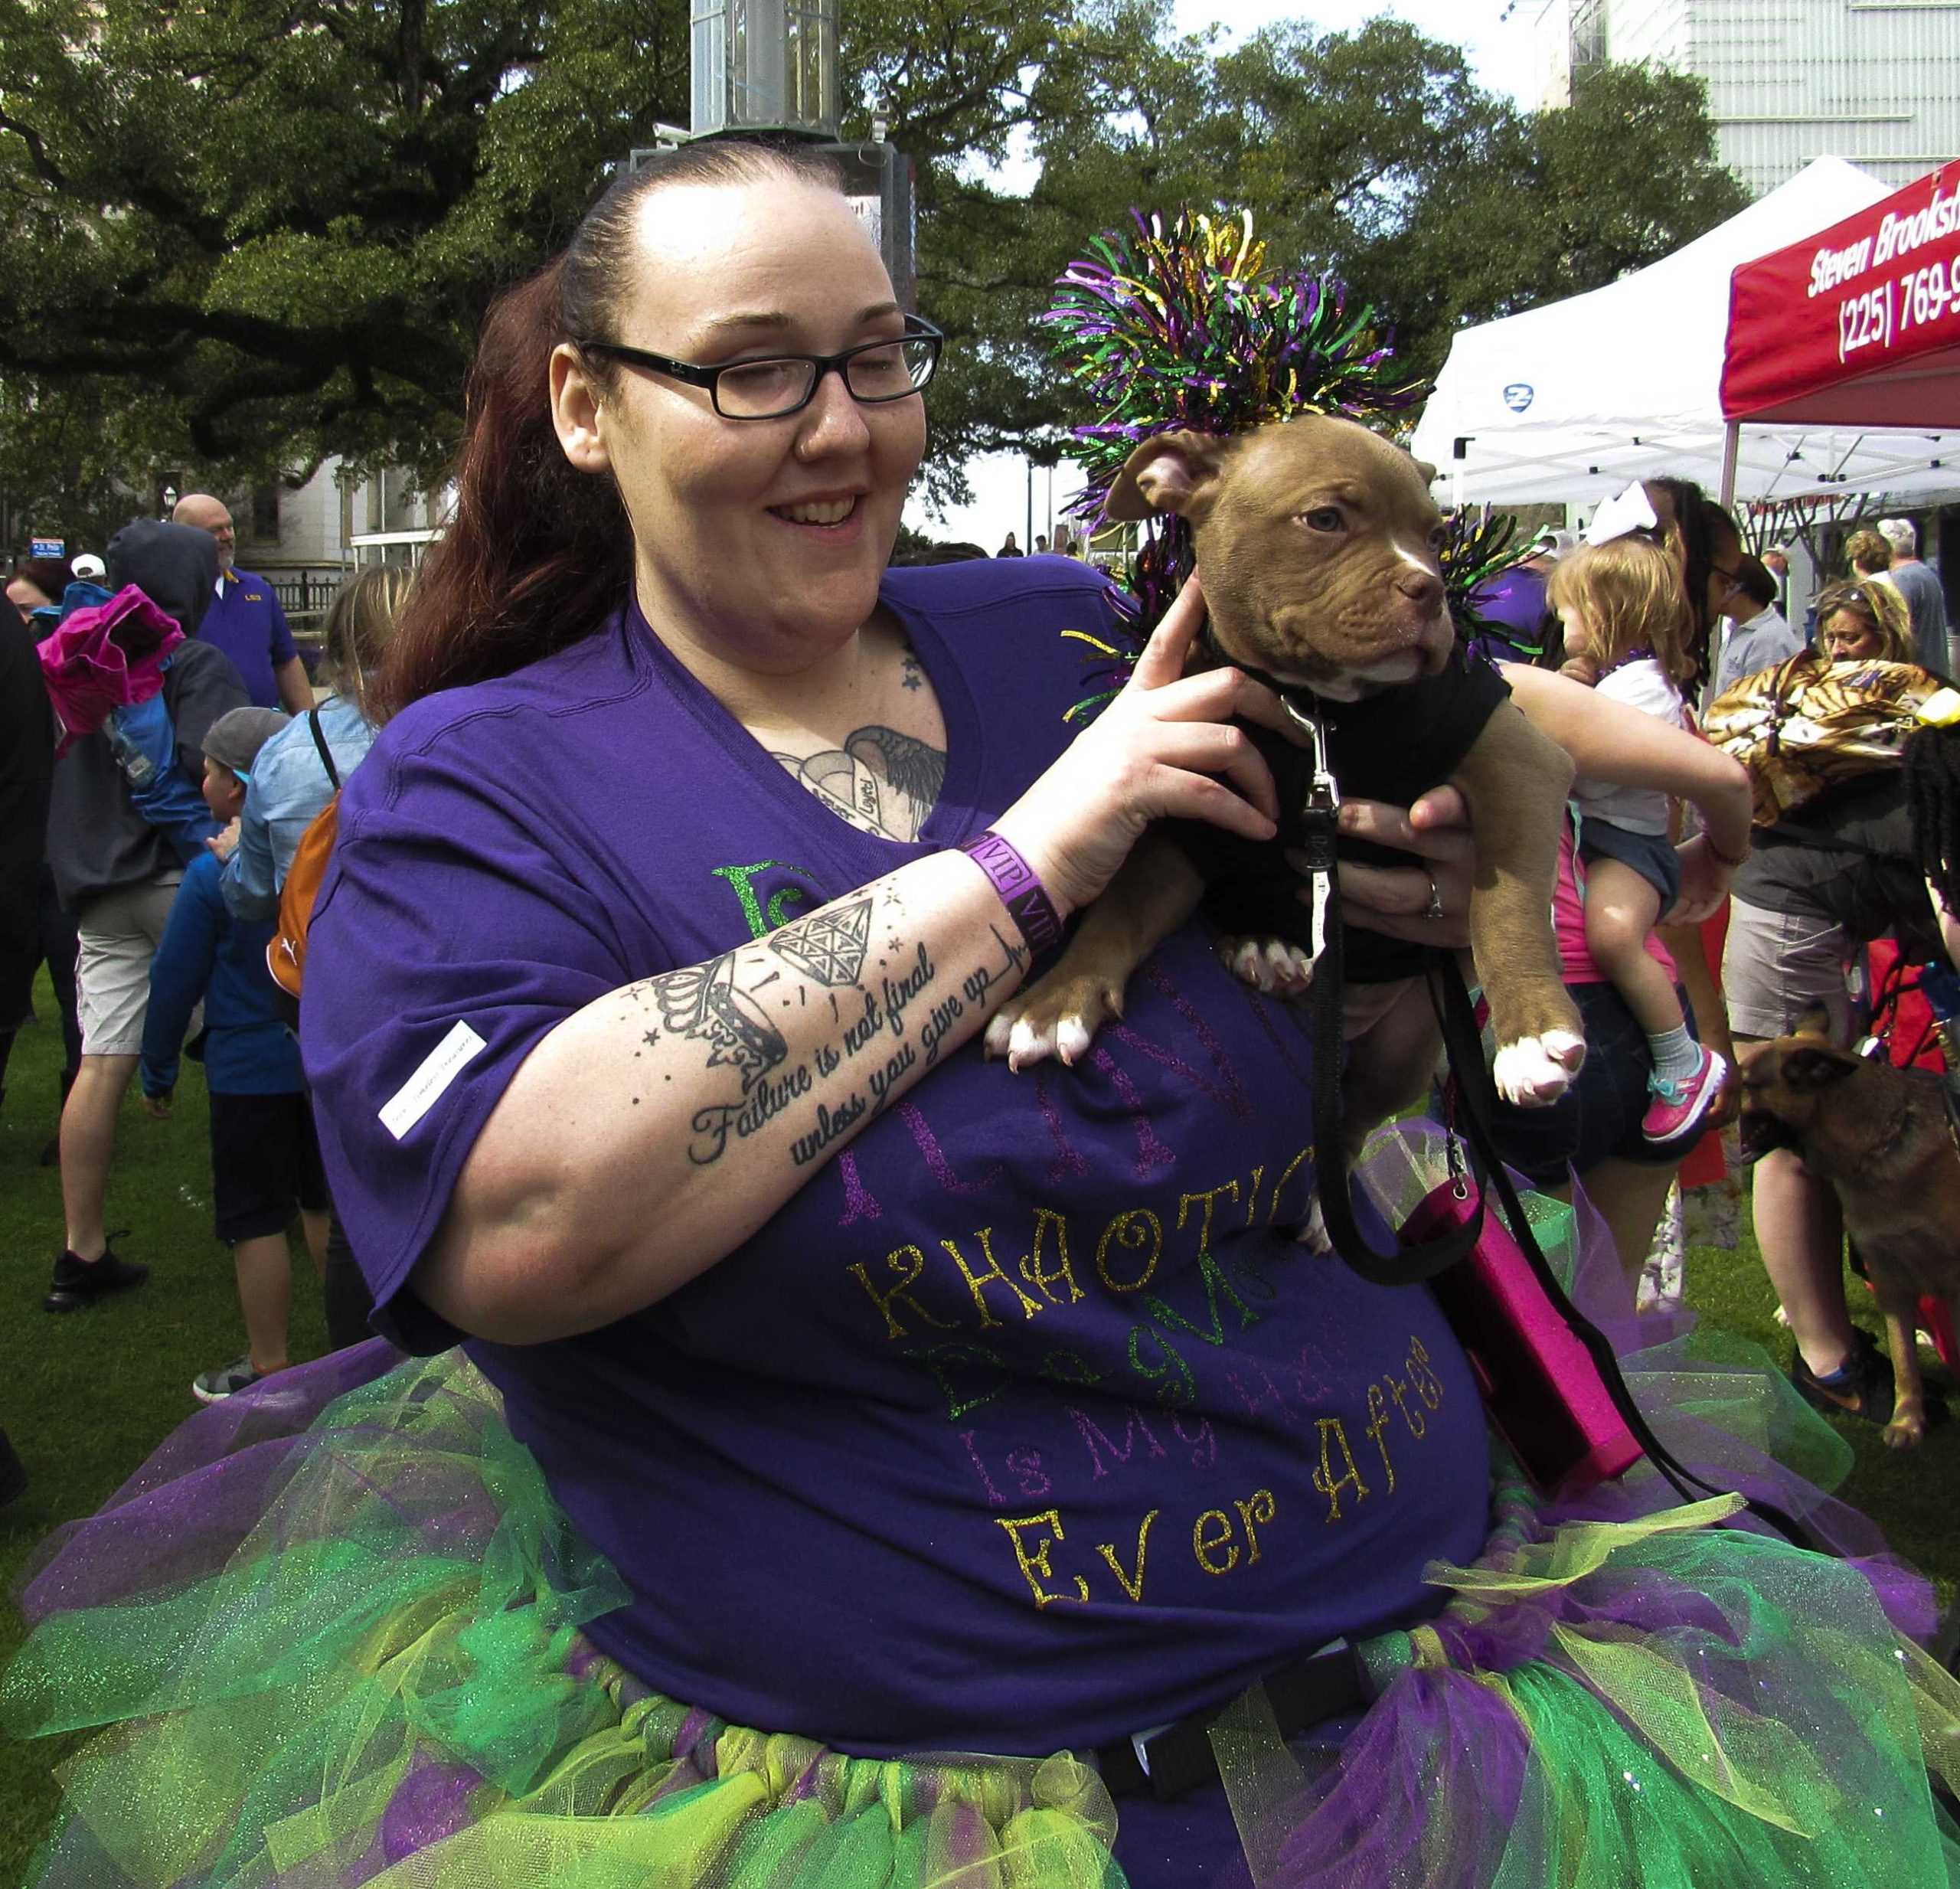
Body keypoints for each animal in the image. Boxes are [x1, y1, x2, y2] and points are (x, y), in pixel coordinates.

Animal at [988, 417, 1583, 1152]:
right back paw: (1261, 943)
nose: (1431, 590)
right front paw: (1052, 1002)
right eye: (1325, 519)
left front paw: (1533, 1030)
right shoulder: (1187, 818)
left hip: (1403, 1053)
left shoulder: (1518, 757)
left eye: (1435, 538)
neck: (1315, 707)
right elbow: (1118, 910)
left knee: (1353, 1123)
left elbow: (1507, 904)